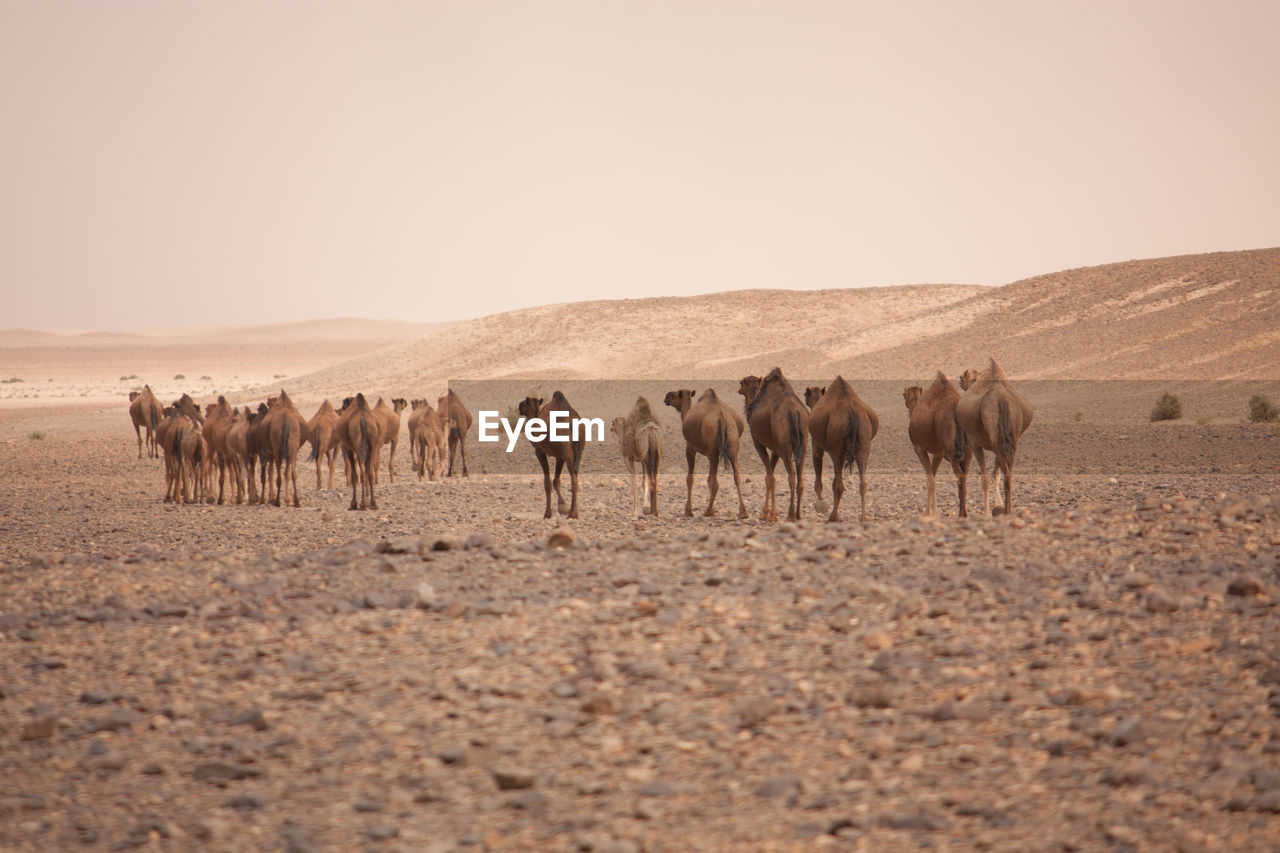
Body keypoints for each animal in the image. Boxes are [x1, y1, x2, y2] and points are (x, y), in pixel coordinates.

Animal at [665, 386, 747, 517]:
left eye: (675, 394)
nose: (666, 397)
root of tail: (722, 418)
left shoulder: (690, 448)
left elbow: (690, 479)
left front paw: (688, 511)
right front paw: (713, 510)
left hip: (713, 449)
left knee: (714, 482)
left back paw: (707, 511)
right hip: (732, 444)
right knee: (736, 476)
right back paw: (743, 512)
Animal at [737, 368, 803, 522]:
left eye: (742, 382)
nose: (739, 389)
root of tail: (794, 411)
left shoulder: (758, 443)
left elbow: (769, 477)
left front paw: (768, 514)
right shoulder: (775, 449)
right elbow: (771, 476)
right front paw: (771, 513)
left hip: (785, 448)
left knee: (792, 476)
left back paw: (790, 515)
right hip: (804, 442)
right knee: (800, 478)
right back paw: (798, 514)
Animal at [808, 376, 880, 522]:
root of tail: (852, 413)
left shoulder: (816, 444)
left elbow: (818, 479)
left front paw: (820, 505)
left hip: (837, 447)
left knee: (838, 485)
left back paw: (833, 517)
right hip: (865, 443)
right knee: (863, 482)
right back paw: (864, 517)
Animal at [901, 368, 967, 514]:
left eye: (903, 394)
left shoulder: (919, 448)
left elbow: (930, 479)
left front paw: (929, 513)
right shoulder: (938, 452)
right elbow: (933, 478)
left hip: (951, 451)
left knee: (960, 476)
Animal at [957, 356, 1034, 514]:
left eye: (963, 376)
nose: (960, 379)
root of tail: (1002, 399)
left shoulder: (975, 443)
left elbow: (985, 478)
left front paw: (988, 512)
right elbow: (995, 474)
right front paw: (998, 506)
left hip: (995, 441)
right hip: (1009, 441)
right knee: (1008, 475)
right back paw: (1008, 510)